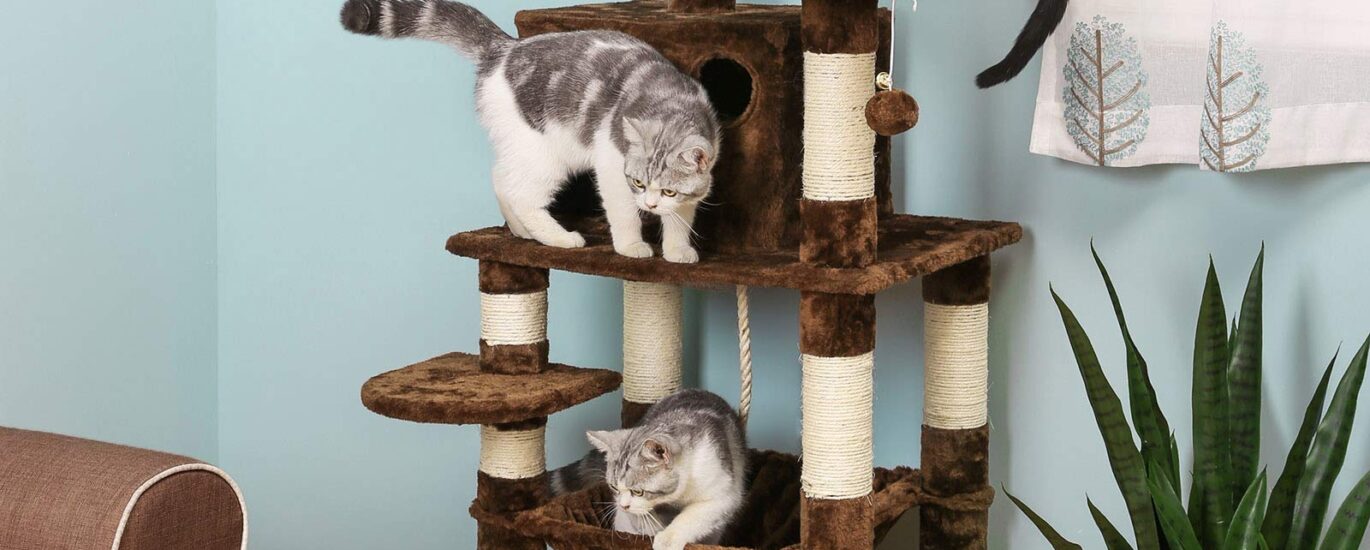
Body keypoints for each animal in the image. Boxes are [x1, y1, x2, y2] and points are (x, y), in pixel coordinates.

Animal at [341, 0, 720, 263]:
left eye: (668, 191)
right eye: (638, 183)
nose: (651, 204)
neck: (671, 102)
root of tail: (505, 48)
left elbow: (681, 217)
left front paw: (677, 250)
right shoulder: (612, 163)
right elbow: (623, 210)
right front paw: (631, 246)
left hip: (520, 145)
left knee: (501, 179)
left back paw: (523, 232)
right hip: (546, 155)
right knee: (521, 193)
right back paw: (559, 238)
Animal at [551, 389, 747, 550]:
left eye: (638, 491)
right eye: (614, 487)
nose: (623, 506)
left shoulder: (722, 491)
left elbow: (693, 517)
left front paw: (667, 539)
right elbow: (640, 517)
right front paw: (651, 530)